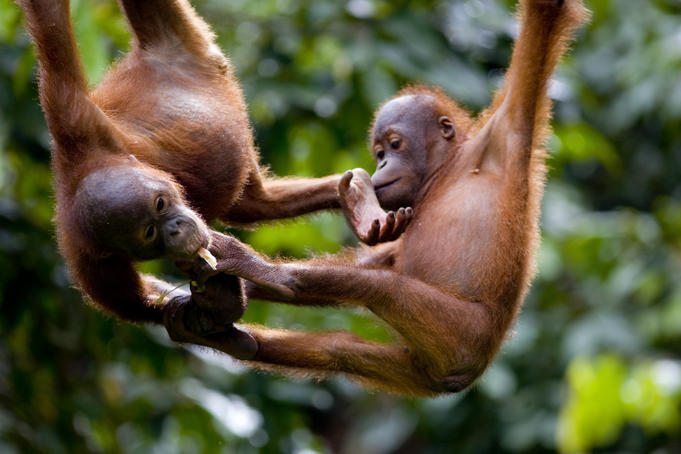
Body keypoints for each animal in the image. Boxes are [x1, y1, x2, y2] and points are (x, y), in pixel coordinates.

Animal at [17, 0, 412, 351]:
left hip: (185, 42)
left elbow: (52, 34)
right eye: (149, 232)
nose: (175, 228)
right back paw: (351, 197)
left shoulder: (78, 121)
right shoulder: (89, 261)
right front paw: (211, 307)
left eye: (160, 204)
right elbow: (131, 304)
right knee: (255, 204)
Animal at [165, 0, 589, 395]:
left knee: (382, 289)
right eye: (379, 151)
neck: (448, 171)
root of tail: (460, 374)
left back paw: (268, 275)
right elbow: (376, 256)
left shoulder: (507, 130)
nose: (382, 164)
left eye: (394, 145)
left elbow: (544, 22)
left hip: (461, 336)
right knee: (341, 349)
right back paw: (230, 333)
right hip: (415, 368)